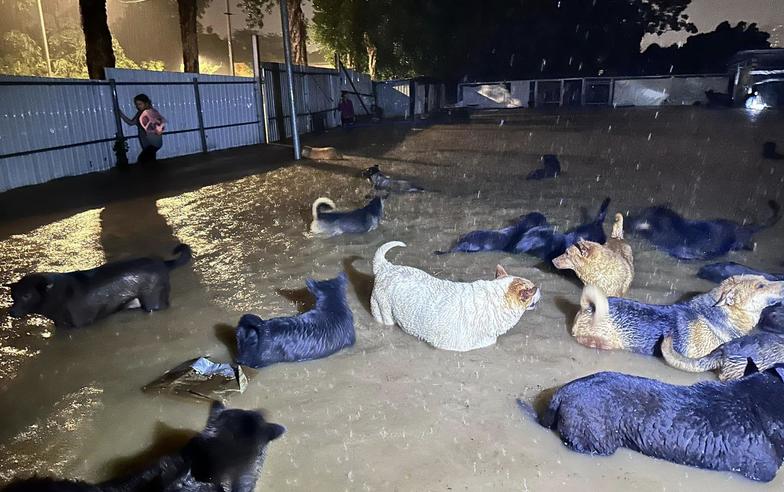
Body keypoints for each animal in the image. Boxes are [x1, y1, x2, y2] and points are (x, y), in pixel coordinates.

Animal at [6, 244, 192, 328]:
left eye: (26, 295)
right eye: (13, 296)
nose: (11, 312)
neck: (58, 294)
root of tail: (162, 263)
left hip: (153, 301)